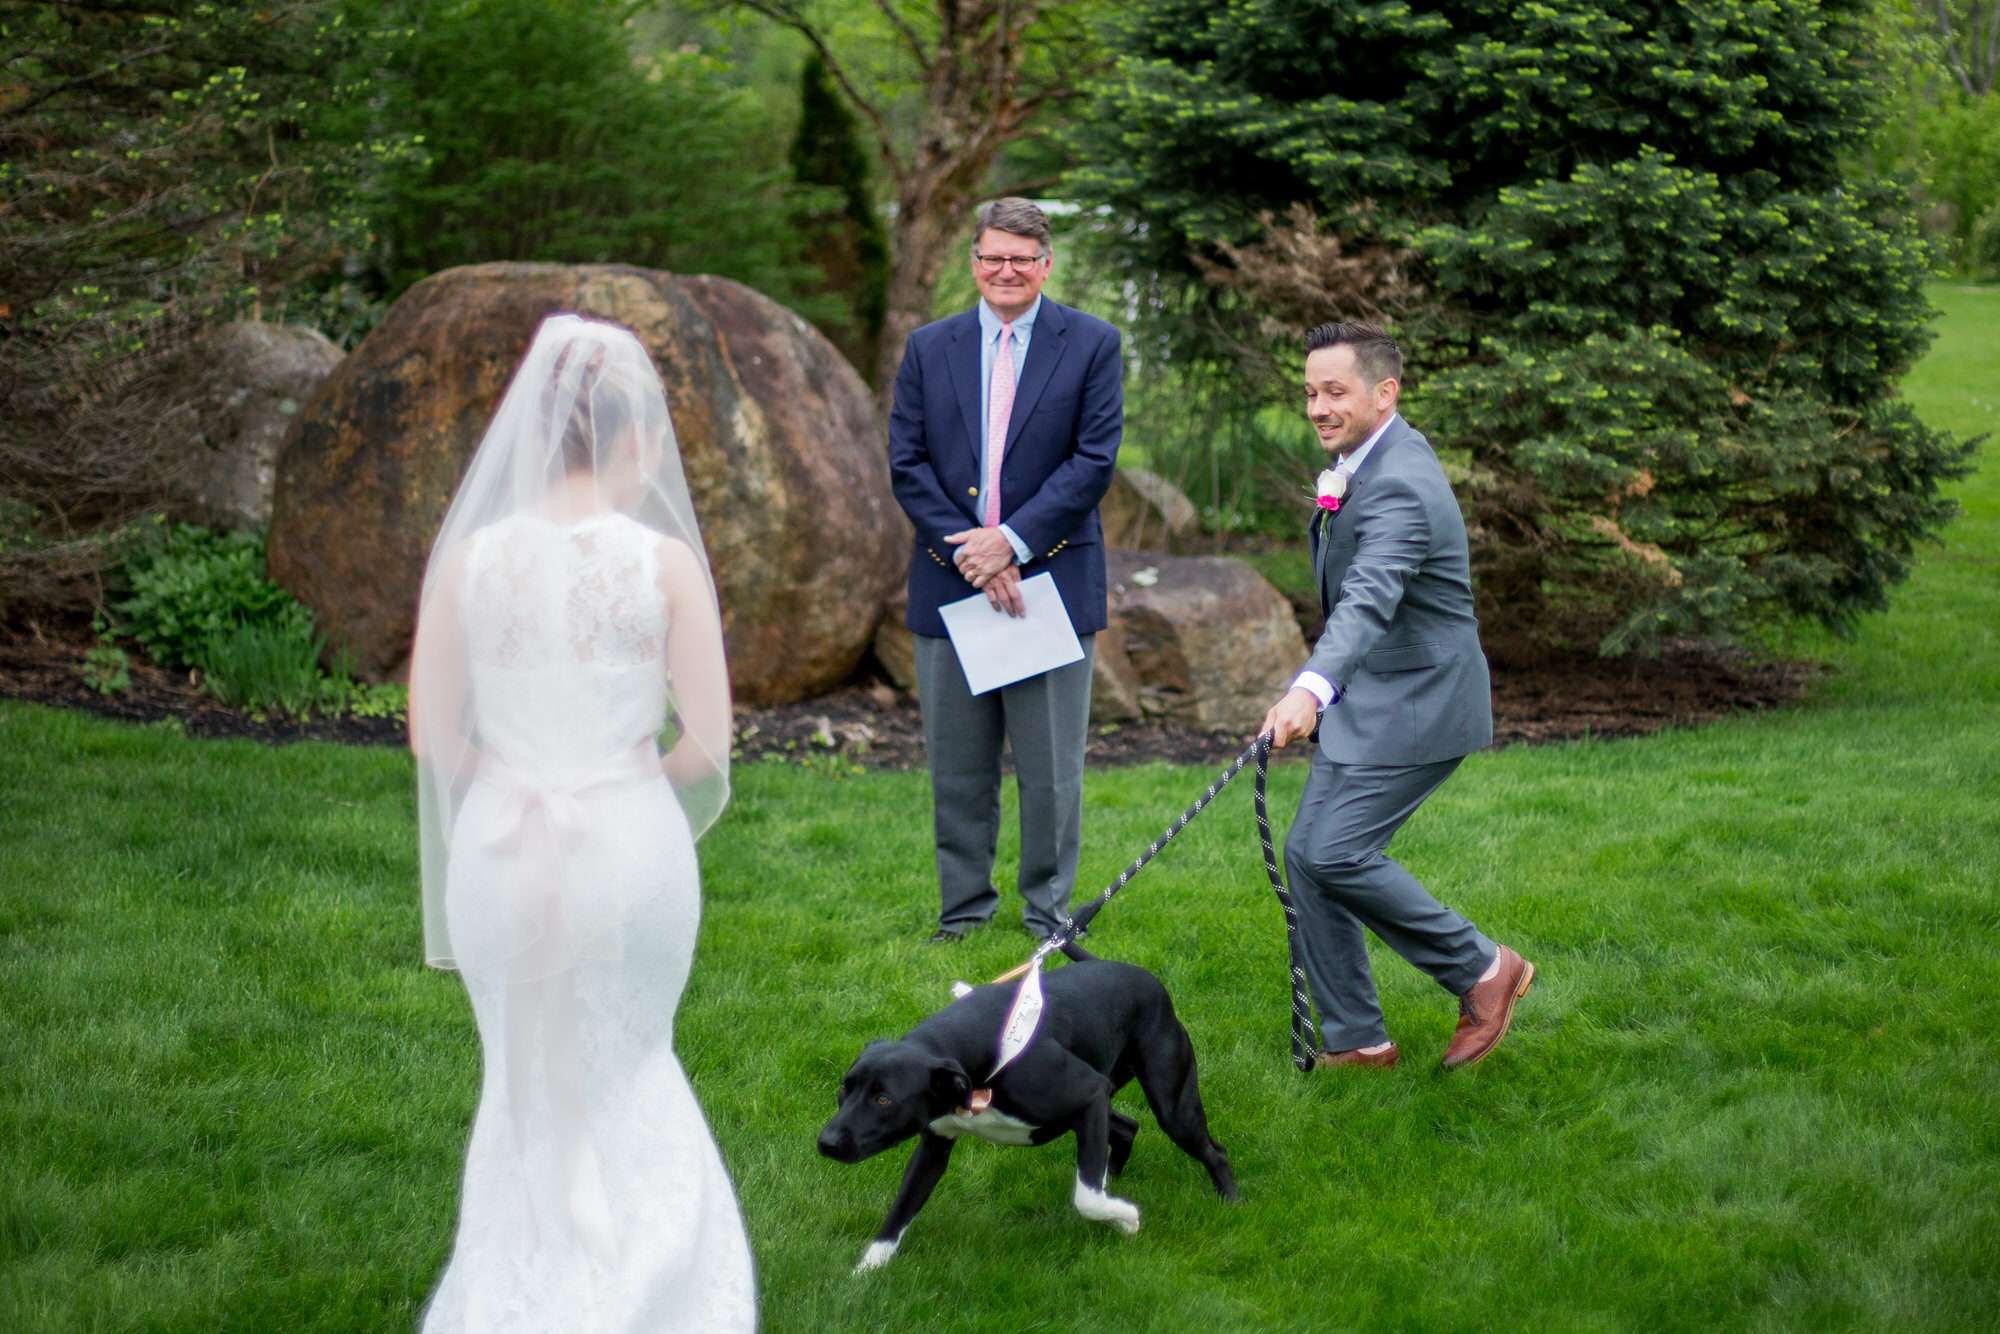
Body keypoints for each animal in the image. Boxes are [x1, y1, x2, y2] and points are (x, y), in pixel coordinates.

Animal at [817, 950, 1237, 1271]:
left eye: (884, 1099)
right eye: (844, 1087)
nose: (826, 1142)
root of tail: (1145, 978)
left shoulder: (1089, 1095)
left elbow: (1086, 1198)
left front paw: (1127, 1218)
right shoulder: (935, 1144)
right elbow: (901, 1209)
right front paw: (867, 1272)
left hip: (1171, 1107)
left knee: (1214, 1150)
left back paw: (1230, 1203)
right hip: (1100, 1105)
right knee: (1126, 1128)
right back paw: (1113, 1180)